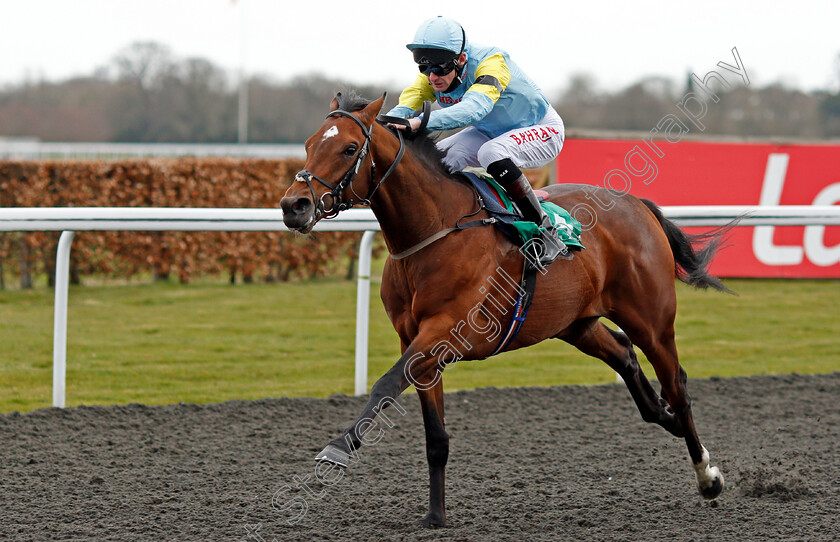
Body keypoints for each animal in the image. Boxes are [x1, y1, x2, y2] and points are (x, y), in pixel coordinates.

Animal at [278, 92, 724, 528]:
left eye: (349, 148)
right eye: (309, 145)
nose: (293, 205)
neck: (434, 230)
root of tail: (637, 203)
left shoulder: (442, 332)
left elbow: (385, 384)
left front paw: (337, 448)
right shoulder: (416, 341)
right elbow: (435, 436)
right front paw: (436, 515)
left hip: (651, 319)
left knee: (676, 384)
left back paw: (707, 476)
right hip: (574, 322)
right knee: (624, 354)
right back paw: (664, 416)